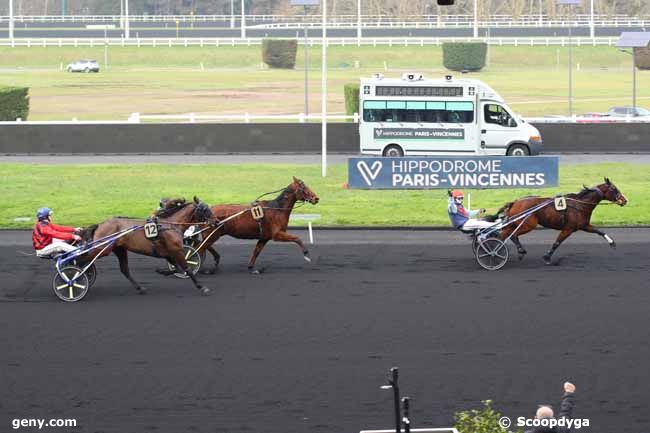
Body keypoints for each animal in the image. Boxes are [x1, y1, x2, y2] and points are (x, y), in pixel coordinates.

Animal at [80, 197, 214, 296]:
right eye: (206, 210)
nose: (216, 221)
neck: (170, 225)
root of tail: (100, 224)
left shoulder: (168, 252)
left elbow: (177, 268)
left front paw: (162, 271)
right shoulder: (177, 250)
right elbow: (187, 269)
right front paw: (202, 287)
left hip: (120, 249)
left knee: (124, 269)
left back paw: (140, 288)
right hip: (102, 249)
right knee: (83, 259)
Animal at [494, 176, 624, 264]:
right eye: (614, 188)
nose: (624, 200)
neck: (580, 205)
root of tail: (515, 202)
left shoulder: (584, 225)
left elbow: (599, 231)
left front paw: (612, 243)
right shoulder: (568, 228)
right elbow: (557, 242)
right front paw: (547, 257)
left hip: (515, 223)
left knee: (504, 235)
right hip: (528, 224)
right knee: (513, 235)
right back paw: (519, 252)